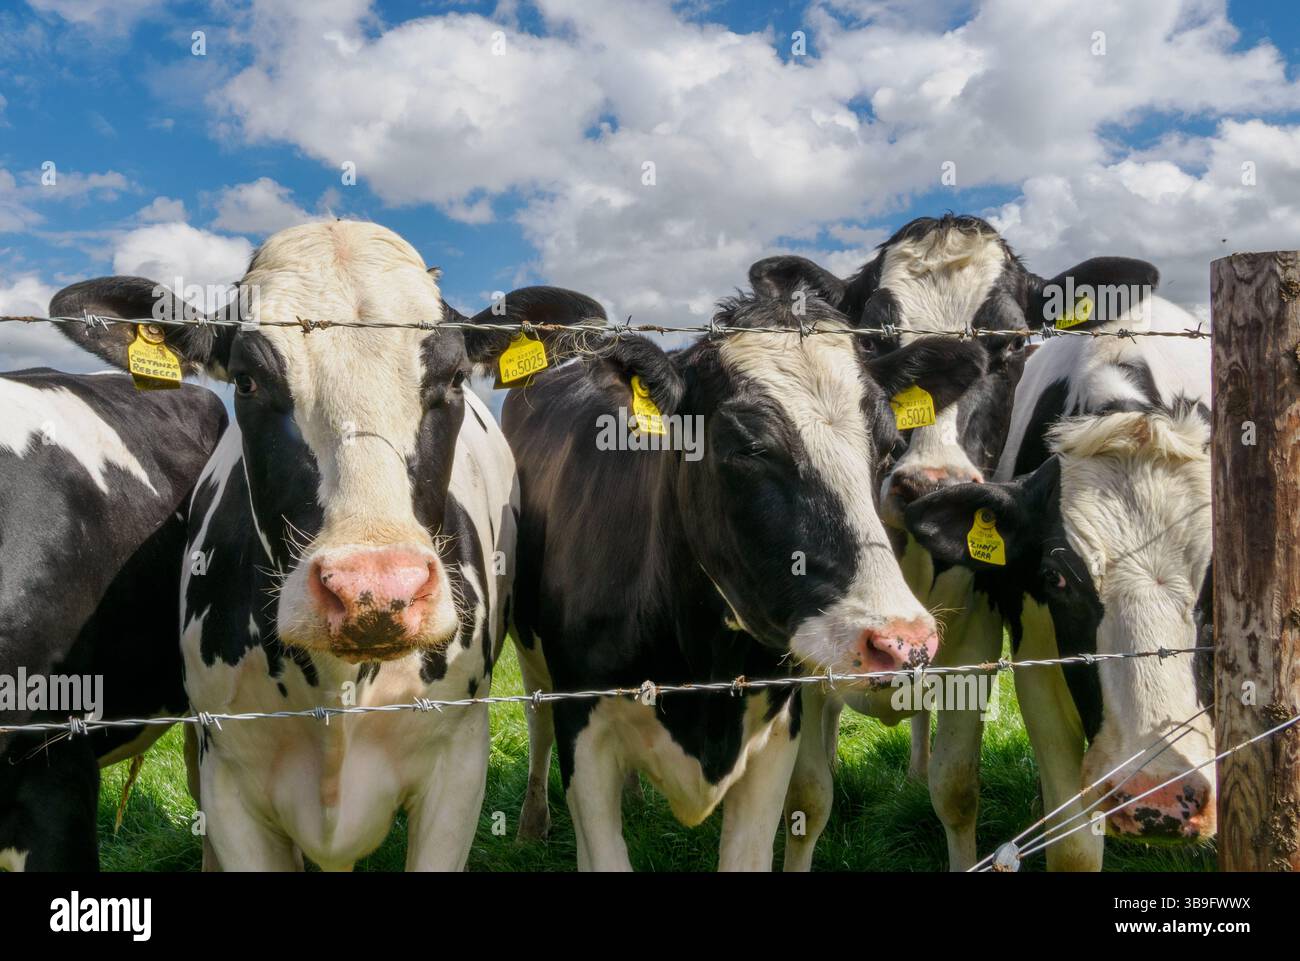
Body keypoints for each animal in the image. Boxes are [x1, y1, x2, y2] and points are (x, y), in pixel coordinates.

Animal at [502, 289, 992, 870]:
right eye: (747, 447)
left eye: (889, 446)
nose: (903, 642)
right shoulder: (584, 728)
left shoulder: (777, 734)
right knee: (536, 721)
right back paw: (531, 821)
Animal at [747, 214, 1163, 870]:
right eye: (874, 339)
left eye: (1012, 343)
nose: (927, 483)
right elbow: (808, 797)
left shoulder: (975, 638)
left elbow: (957, 788)